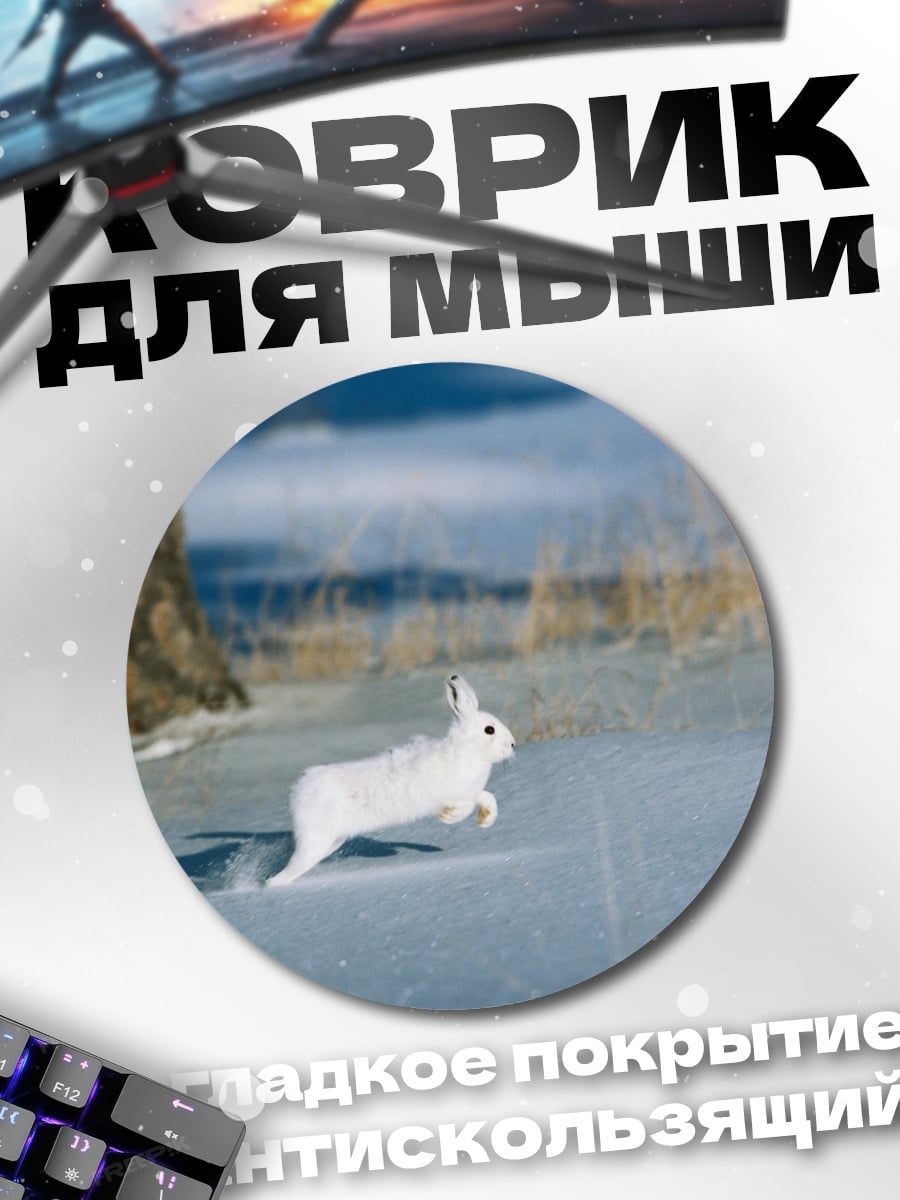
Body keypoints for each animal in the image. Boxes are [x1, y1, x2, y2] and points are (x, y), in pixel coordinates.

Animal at [265, 674, 515, 885]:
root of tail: (299, 791)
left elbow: (488, 798)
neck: (467, 751)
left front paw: (485, 821)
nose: (512, 744)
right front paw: (448, 818)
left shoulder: (472, 792)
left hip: (332, 841)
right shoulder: (447, 795)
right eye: (489, 730)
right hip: (316, 840)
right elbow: (464, 806)